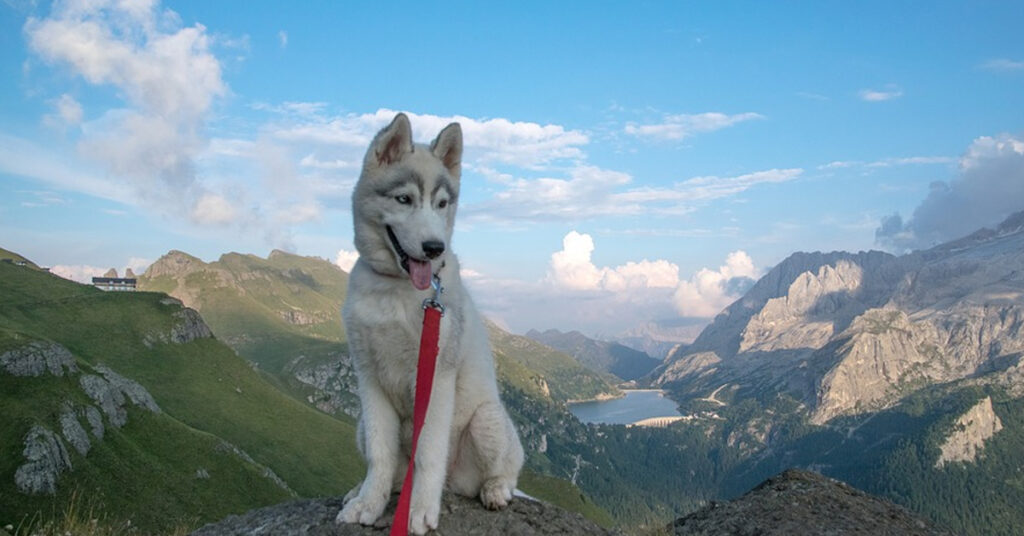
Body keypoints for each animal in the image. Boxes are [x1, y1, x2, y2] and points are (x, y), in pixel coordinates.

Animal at [337, 113, 524, 532]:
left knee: (506, 468)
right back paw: (365, 489)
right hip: (359, 424)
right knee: (392, 466)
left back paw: (495, 490)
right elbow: (379, 453)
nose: (435, 248)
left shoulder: (437, 376)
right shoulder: (368, 377)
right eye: (404, 199)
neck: (395, 289)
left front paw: (419, 510)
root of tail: (453, 483)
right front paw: (368, 502)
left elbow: (428, 452)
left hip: (488, 420)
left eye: (442, 204)